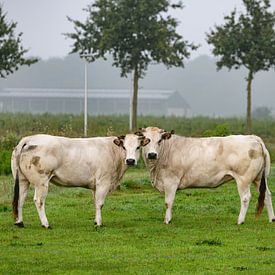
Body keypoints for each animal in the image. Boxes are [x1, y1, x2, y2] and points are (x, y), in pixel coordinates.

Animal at [11, 134, 146, 229]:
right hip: (41, 181)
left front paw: (96, 221)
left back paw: (20, 222)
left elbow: (95, 202)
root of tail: (29, 139)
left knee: (20, 199)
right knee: (39, 201)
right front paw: (99, 224)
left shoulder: (95, 186)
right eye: (124, 147)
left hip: (22, 180)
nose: (130, 160)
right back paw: (46, 224)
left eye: (138, 147)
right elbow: (100, 203)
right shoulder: (103, 182)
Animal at [141, 127, 274, 226]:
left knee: (246, 197)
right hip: (259, 179)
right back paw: (272, 219)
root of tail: (252, 137)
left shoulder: (171, 181)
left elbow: (168, 202)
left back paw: (240, 221)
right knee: (267, 195)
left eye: (159, 141)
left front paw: (167, 220)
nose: (152, 154)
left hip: (244, 179)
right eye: (146, 140)